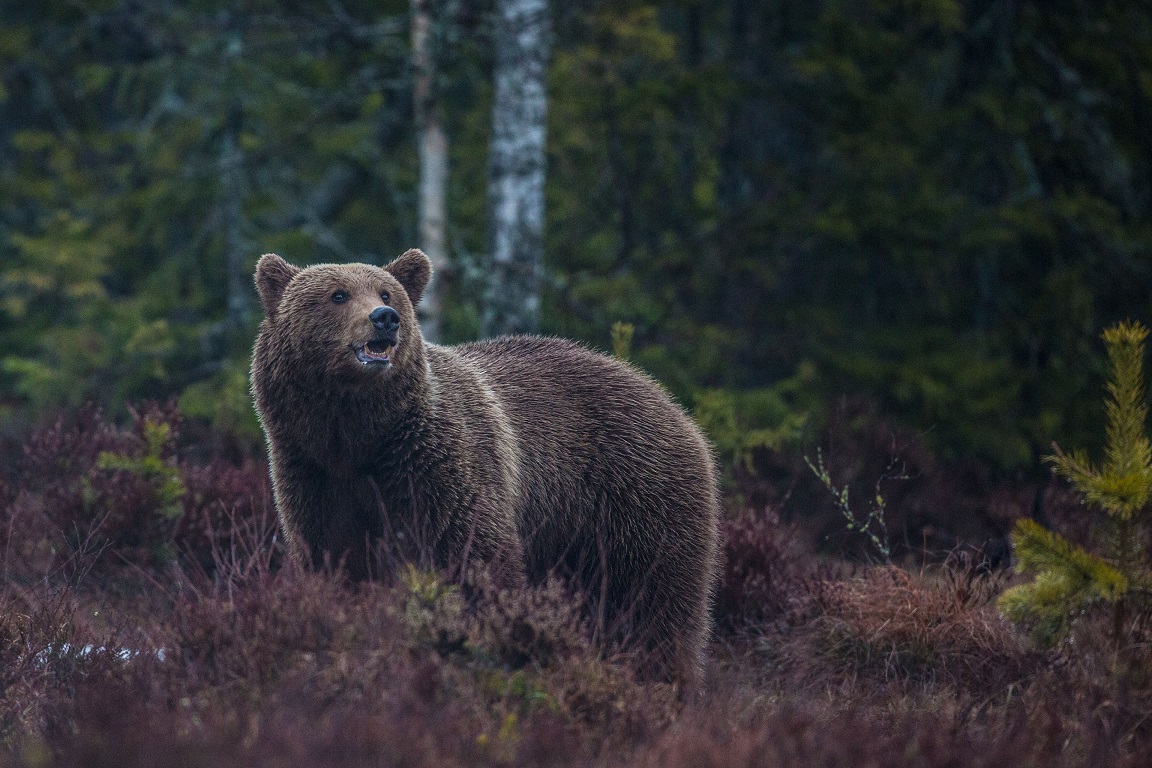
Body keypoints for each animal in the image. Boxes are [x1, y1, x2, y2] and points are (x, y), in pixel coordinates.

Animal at [252, 249, 718, 681]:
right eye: (338, 294)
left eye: (387, 293)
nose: (385, 319)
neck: (359, 438)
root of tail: (667, 399)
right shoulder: (314, 474)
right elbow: (333, 560)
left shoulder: (440, 466)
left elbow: (474, 559)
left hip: (634, 496)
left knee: (652, 606)